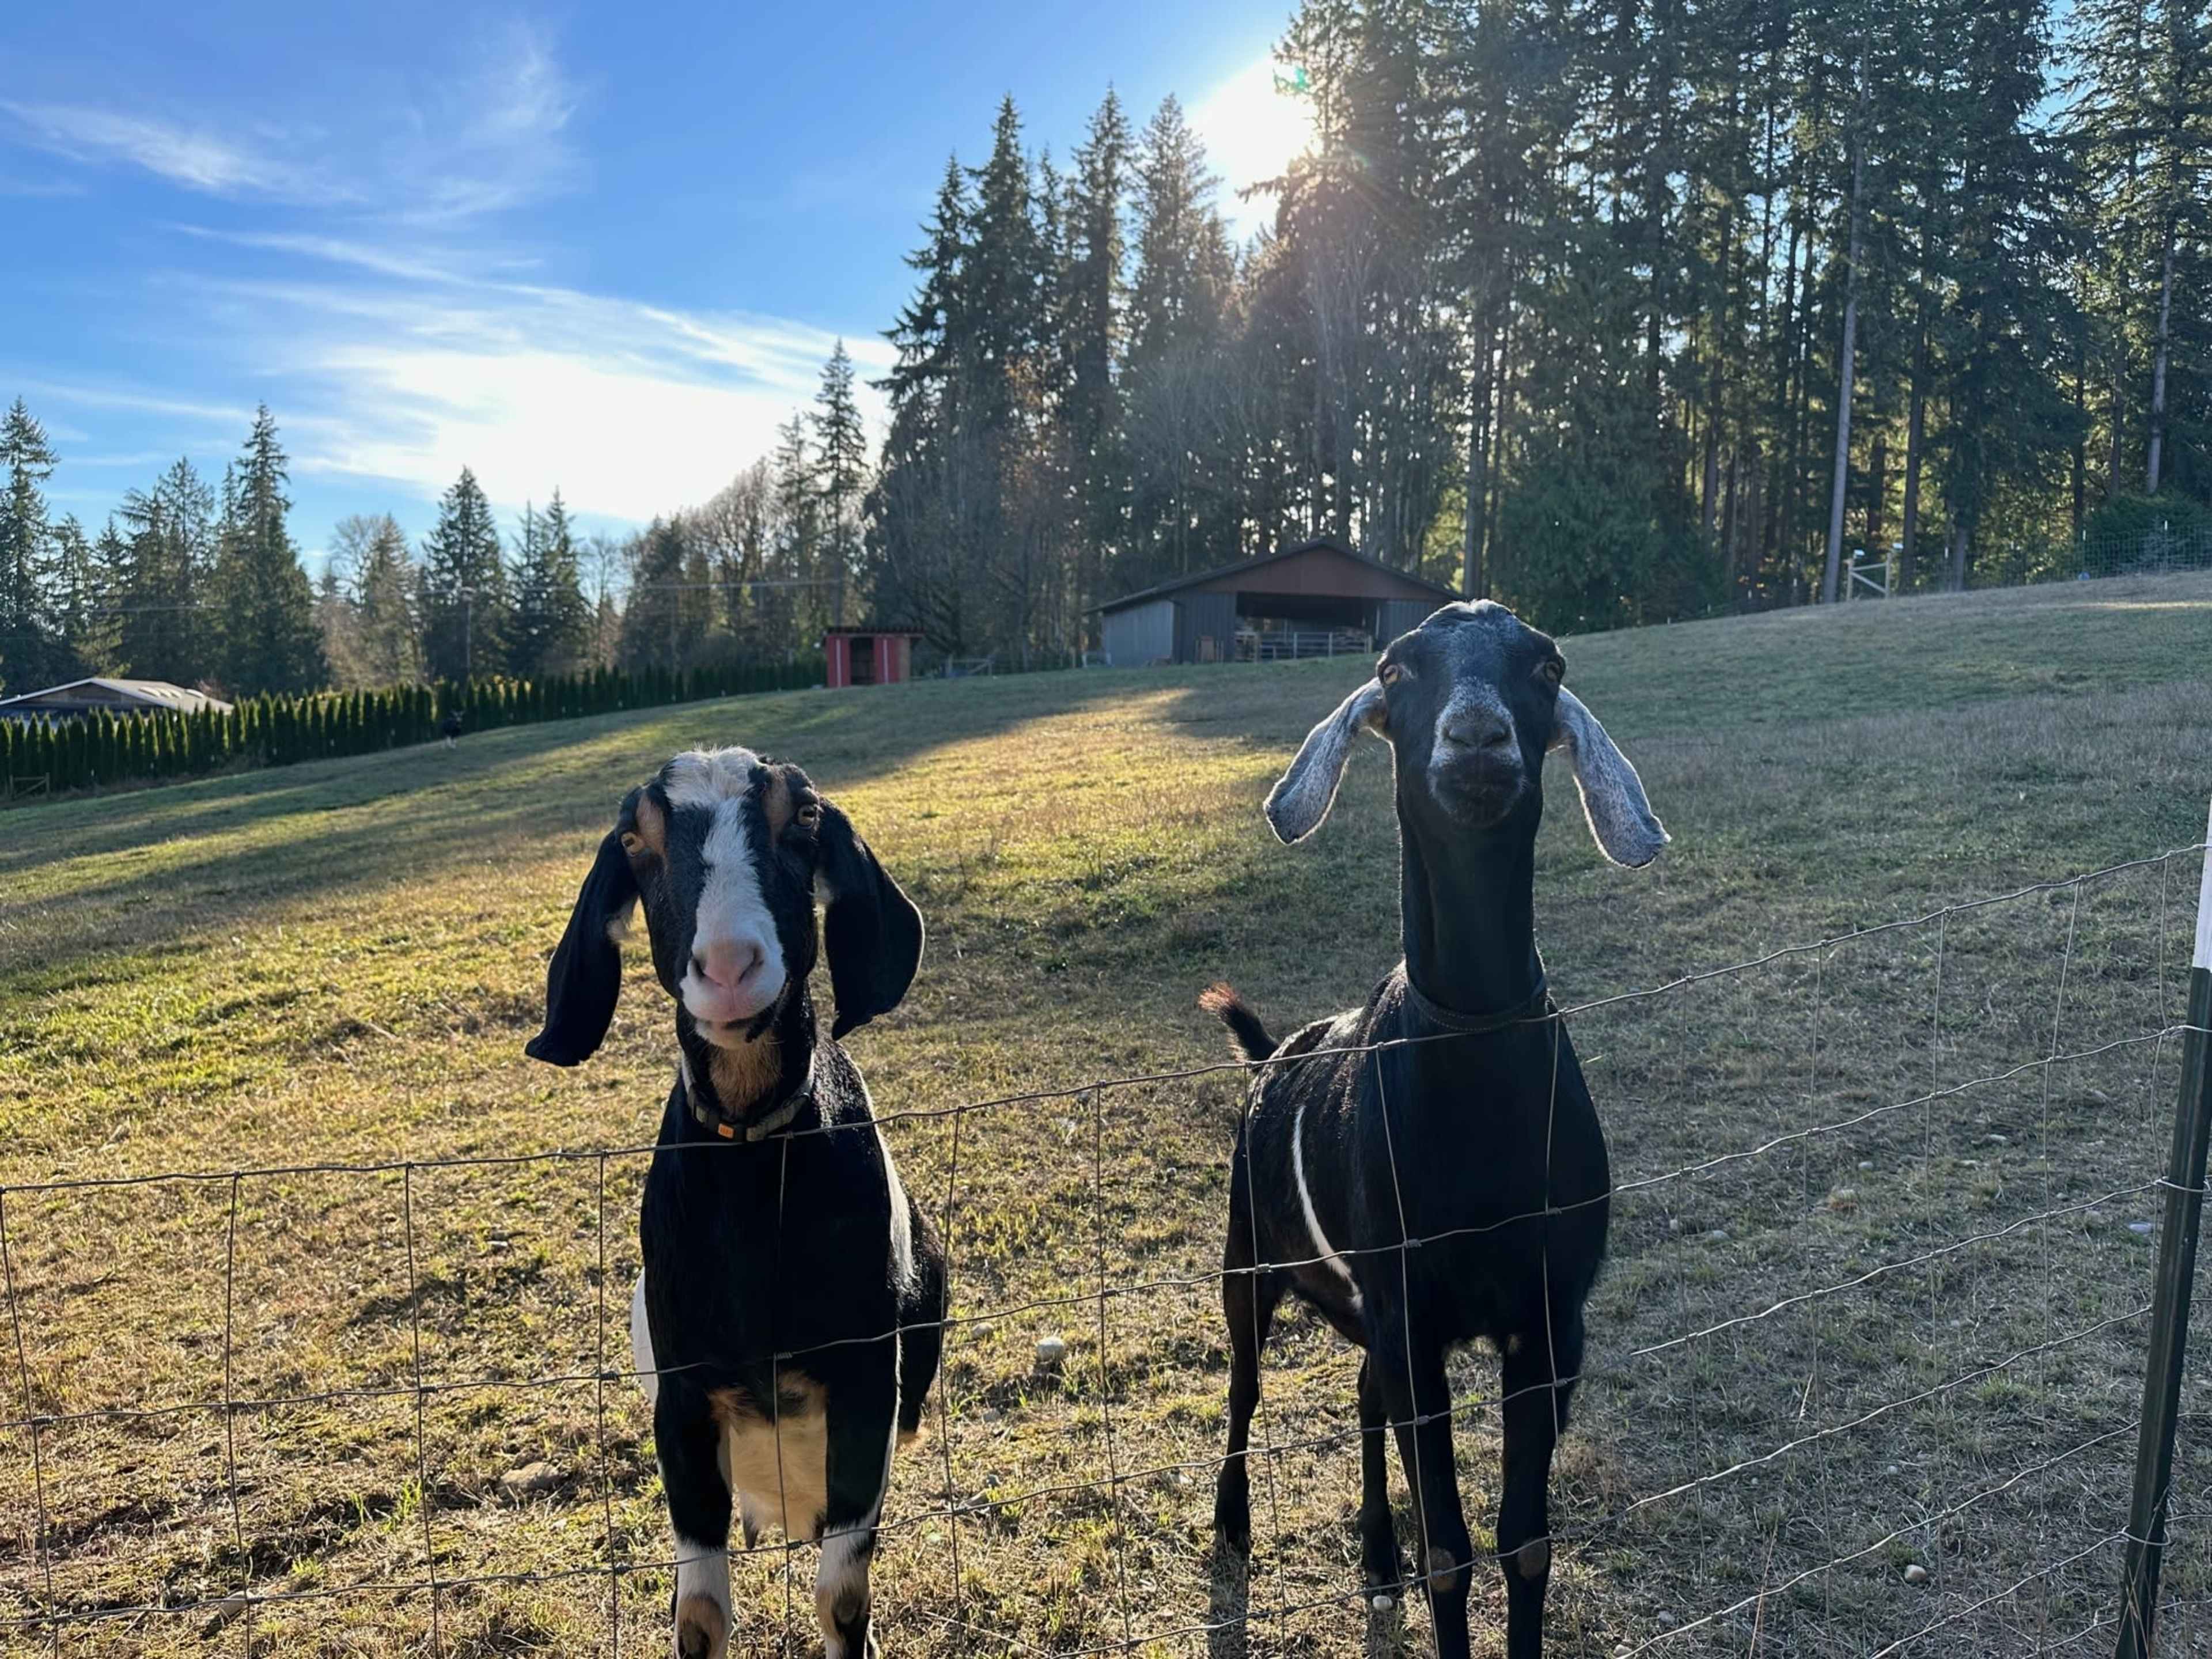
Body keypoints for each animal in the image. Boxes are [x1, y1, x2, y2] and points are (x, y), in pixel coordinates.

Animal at [527, 746, 947, 1659]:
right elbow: (700, 1616)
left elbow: (842, 1599)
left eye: (805, 817)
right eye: (634, 839)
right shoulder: (682, 1404)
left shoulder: (868, 1383)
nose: (727, 970)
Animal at [1203, 601, 1666, 1659]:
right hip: (1248, 1260)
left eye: (1547, 663)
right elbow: (1450, 1552)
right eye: (1395, 667)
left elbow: (1526, 1542)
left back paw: (1376, 1560)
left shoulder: (1549, 1321)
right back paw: (1234, 1521)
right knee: (1245, 1389)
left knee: (1364, 1397)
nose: (1477, 738)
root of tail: (1270, 1062)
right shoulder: (1411, 1316)